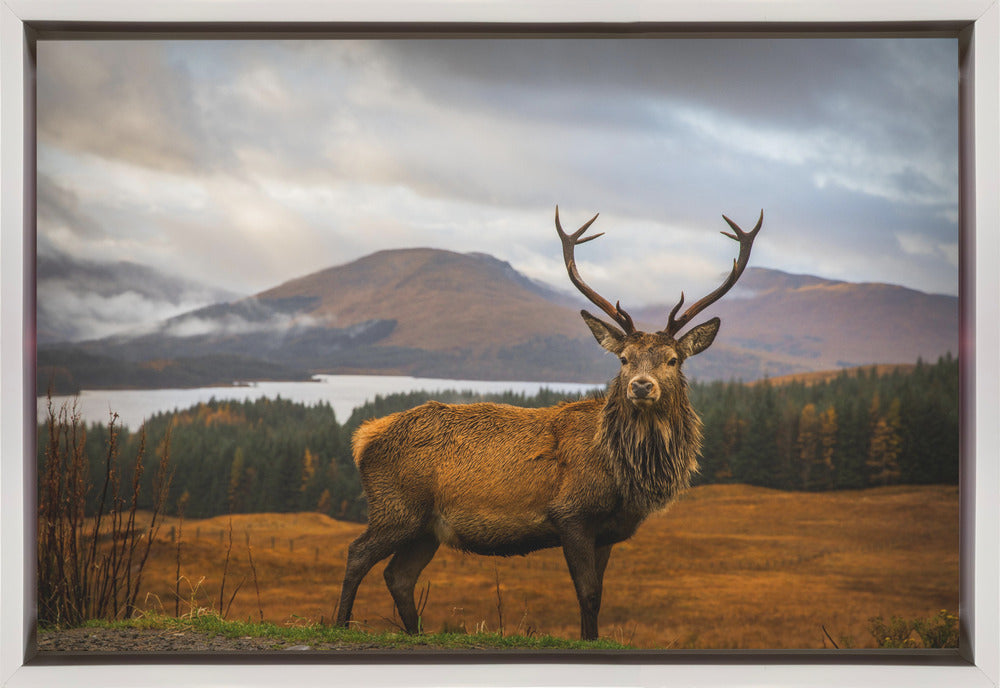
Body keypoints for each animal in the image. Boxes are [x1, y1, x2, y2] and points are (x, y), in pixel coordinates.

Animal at [334, 207, 763, 640]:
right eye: (624, 359)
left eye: (673, 360)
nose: (642, 386)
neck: (624, 476)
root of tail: (363, 437)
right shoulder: (570, 513)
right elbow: (587, 593)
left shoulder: (607, 532)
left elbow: (599, 595)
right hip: (396, 507)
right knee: (357, 553)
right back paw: (340, 623)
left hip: (426, 528)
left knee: (398, 576)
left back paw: (415, 632)